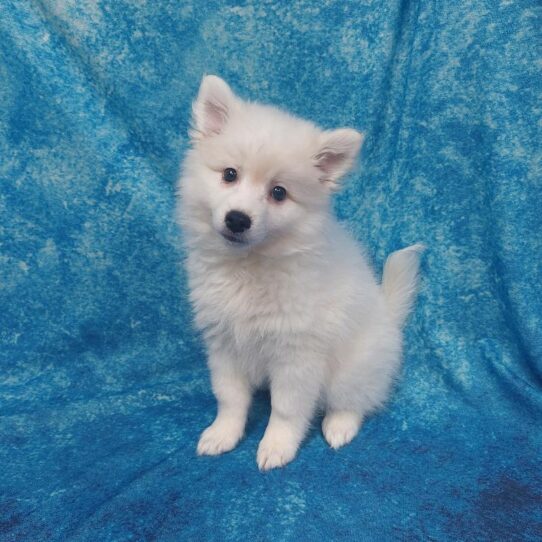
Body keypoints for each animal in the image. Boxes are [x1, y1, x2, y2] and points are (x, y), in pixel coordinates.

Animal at [178, 75, 424, 472]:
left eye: (279, 193)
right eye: (230, 174)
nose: (237, 219)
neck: (250, 266)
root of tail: (389, 316)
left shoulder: (298, 355)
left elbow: (286, 408)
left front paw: (277, 445)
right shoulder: (224, 344)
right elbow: (230, 398)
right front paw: (223, 434)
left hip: (353, 368)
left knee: (353, 400)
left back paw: (339, 426)